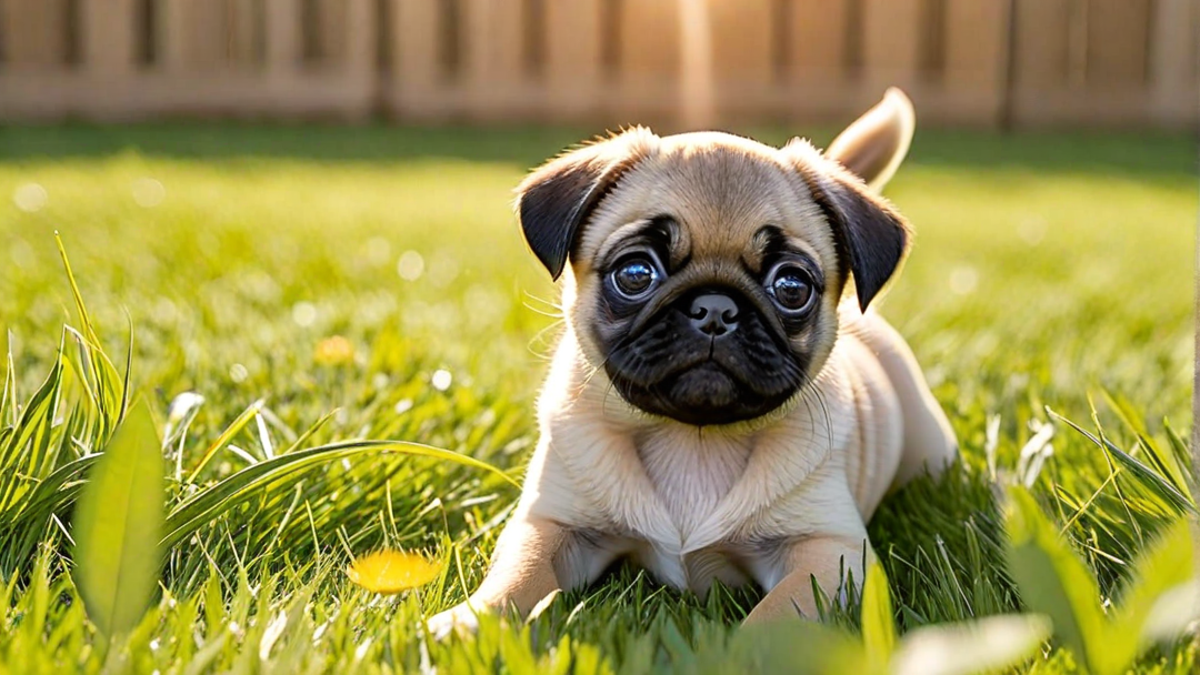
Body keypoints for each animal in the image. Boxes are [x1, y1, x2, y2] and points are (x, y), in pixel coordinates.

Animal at [429, 88, 955, 629]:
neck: (693, 442)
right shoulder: (551, 524)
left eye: (792, 287)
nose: (715, 309)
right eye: (636, 274)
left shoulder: (828, 549)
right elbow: (519, 577)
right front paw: (467, 624)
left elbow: (779, 616)